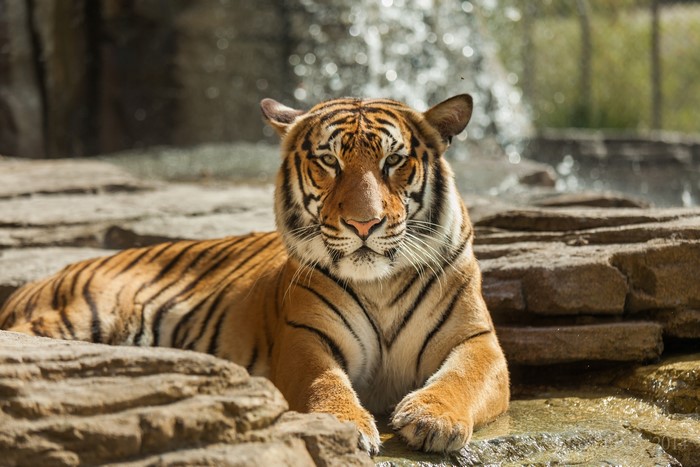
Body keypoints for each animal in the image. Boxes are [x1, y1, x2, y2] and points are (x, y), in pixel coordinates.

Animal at [0, 94, 510, 455]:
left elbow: (463, 376)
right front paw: (344, 425)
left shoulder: (477, 339)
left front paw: (433, 419)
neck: (380, 283)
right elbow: (323, 380)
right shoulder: (304, 336)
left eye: (394, 161)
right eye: (329, 162)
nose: (364, 224)